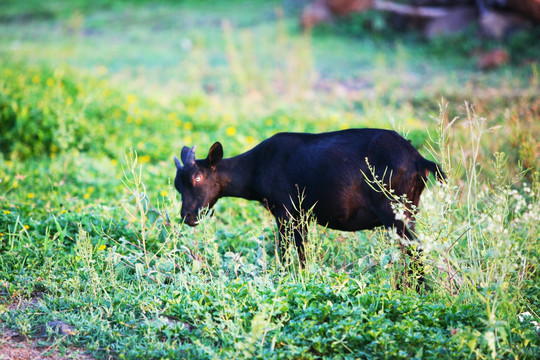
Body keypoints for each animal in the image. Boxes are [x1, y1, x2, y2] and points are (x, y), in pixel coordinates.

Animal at [172, 129, 442, 282]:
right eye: (177, 185)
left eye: (198, 178)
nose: (188, 216)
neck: (256, 167)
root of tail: (419, 160)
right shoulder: (301, 215)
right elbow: (302, 252)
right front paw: (304, 277)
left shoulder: (285, 211)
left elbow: (284, 250)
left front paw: (283, 278)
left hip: (395, 209)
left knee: (415, 249)